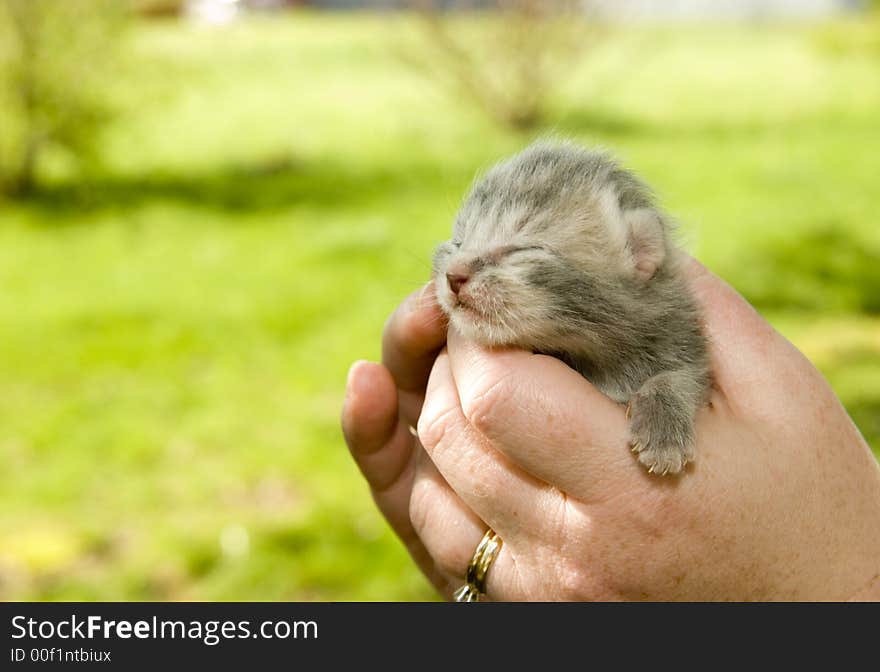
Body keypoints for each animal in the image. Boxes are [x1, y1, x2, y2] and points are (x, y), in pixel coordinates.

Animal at [430, 140, 712, 478]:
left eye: (521, 249)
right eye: (457, 243)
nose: (453, 276)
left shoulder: (680, 337)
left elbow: (684, 375)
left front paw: (663, 429)